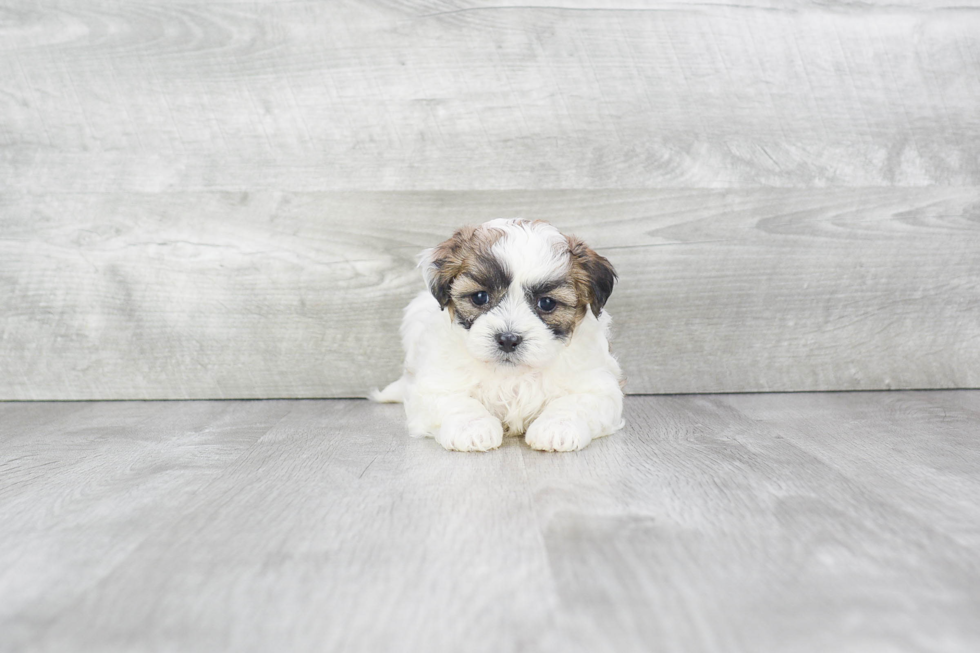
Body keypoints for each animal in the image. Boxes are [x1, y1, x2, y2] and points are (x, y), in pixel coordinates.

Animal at [372, 216, 624, 450]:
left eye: (547, 303)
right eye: (479, 297)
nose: (508, 339)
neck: (512, 375)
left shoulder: (598, 387)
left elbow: (575, 402)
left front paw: (557, 428)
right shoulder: (435, 385)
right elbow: (457, 402)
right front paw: (472, 428)